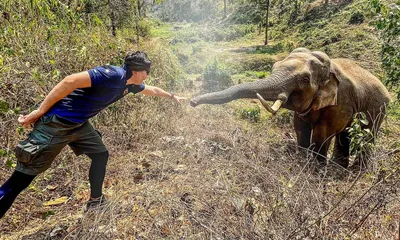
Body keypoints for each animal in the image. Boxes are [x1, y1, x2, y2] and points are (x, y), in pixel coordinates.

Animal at [191, 47, 390, 169]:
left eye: (304, 80)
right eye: (274, 67)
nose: (192, 102)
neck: (328, 68)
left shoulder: (341, 101)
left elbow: (323, 131)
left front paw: (316, 169)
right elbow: (300, 126)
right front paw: (302, 160)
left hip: (379, 108)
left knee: (367, 134)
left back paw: (355, 170)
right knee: (346, 134)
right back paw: (339, 167)